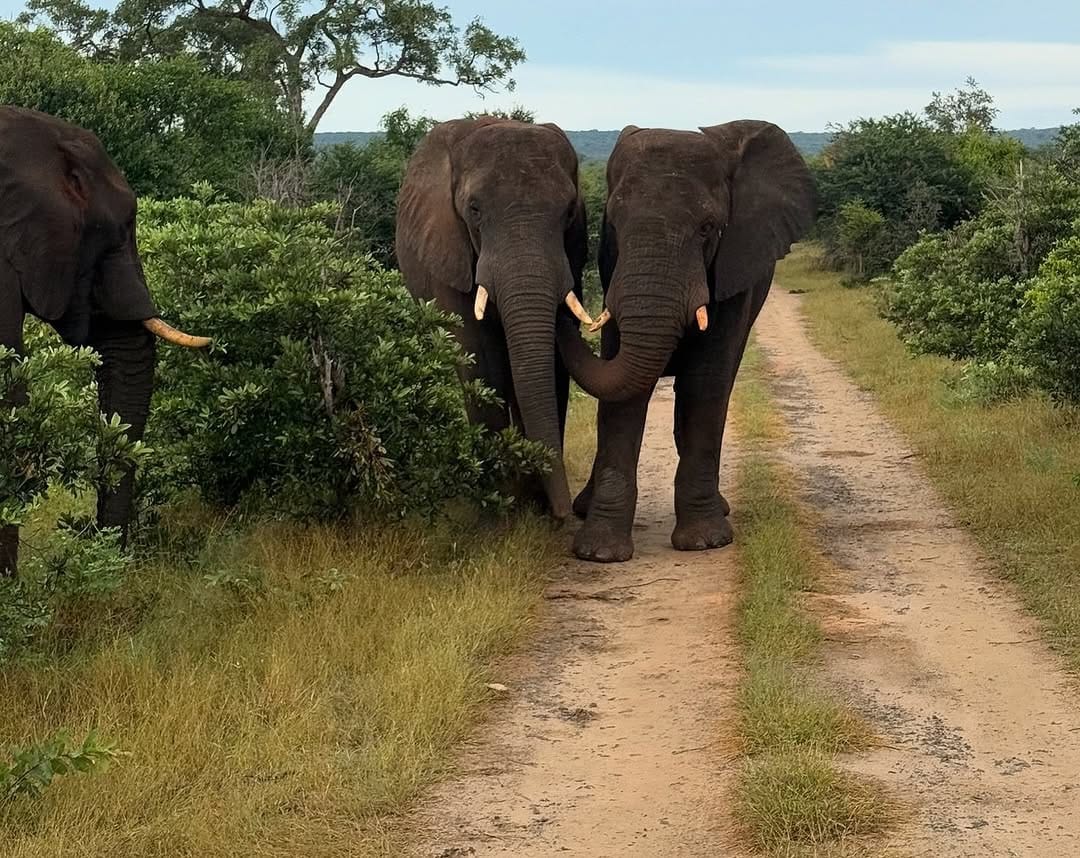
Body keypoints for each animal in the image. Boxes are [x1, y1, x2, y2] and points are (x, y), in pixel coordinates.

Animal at [395, 117, 590, 520]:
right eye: (474, 210)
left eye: (569, 211)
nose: (570, 514)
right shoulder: (448, 250)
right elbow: (480, 358)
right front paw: (500, 509)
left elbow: (550, 364)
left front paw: (534, 502)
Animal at [555, 120, 816, 562]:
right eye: (613, 223)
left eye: (708, 228)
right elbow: (623, 389)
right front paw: (600, 553)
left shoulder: (734, 269)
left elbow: (704, 384)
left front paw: (705, 542)